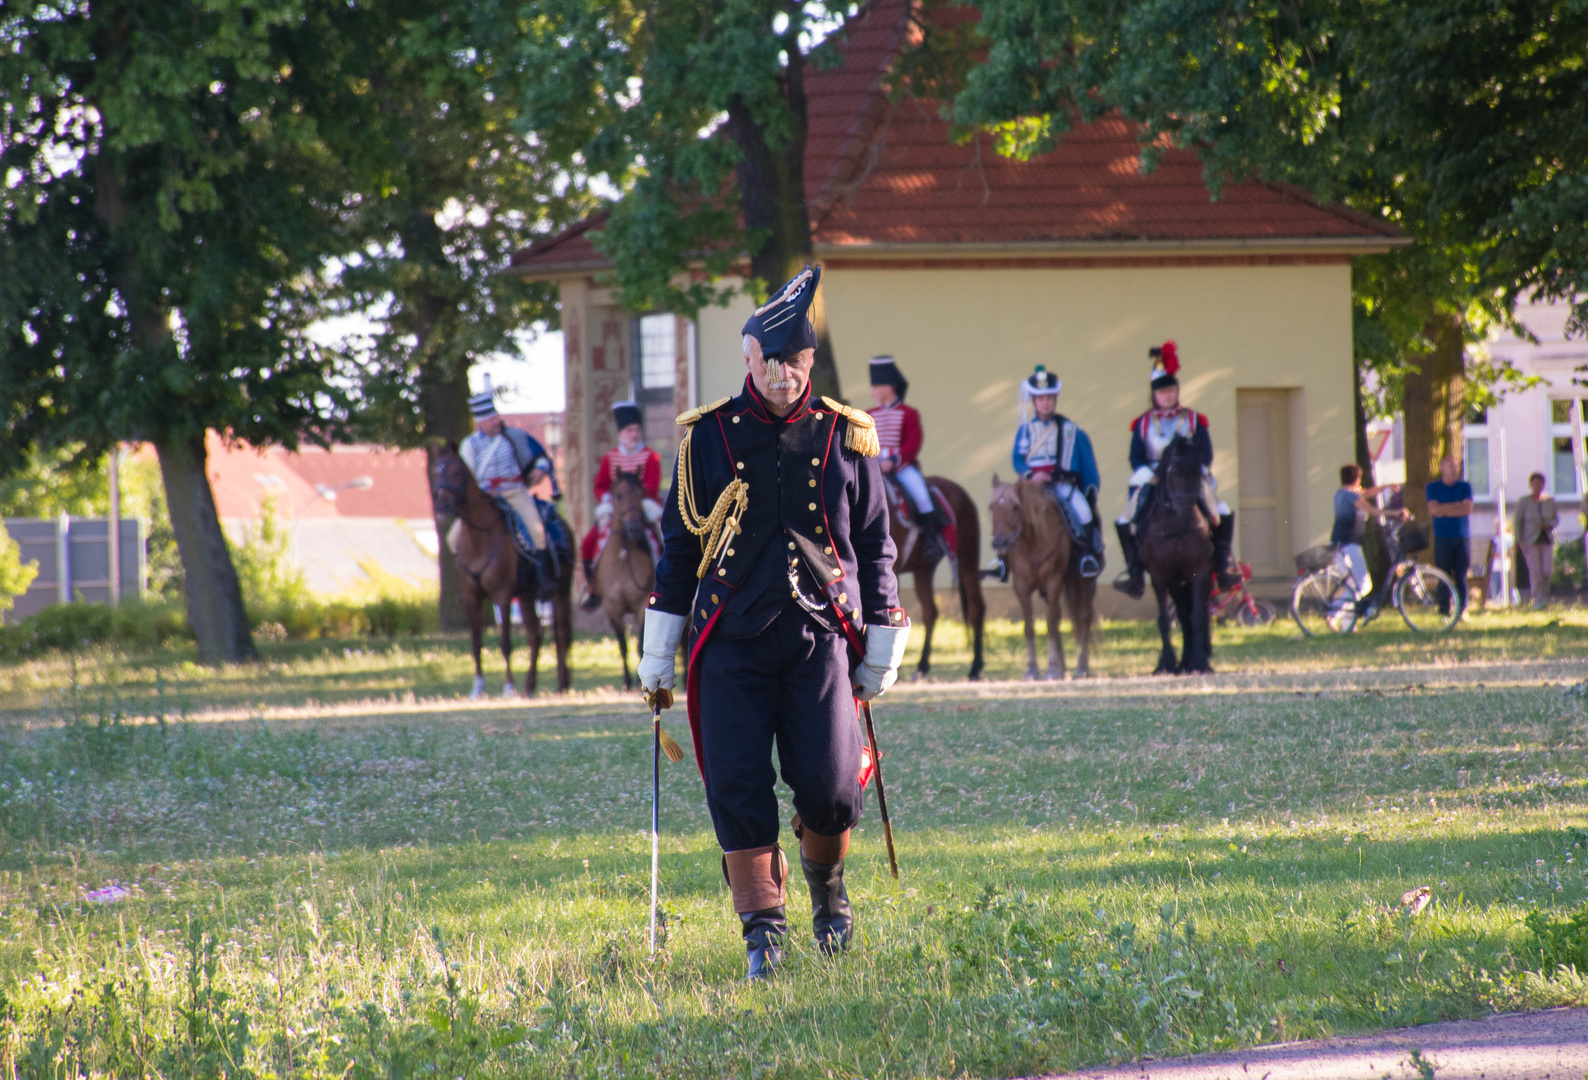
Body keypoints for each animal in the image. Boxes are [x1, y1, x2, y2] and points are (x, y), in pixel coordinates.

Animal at [431, 441, 574, 695]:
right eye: (435, 472)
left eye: (456, 472)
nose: (442, 505)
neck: (479, 539)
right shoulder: (472, 598)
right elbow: (476, 642)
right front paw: (477, 688)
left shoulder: (503, 596)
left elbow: (505, 643)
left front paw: (508, 687)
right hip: (527, 596)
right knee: (535, 635)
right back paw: (530, 686)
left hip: (561, 591)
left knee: (561, 634)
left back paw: (561, 684)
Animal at [593, 473, 654, 692]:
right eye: (619, 495)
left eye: (641, 494)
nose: (634, 528)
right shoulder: (612, 608)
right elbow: (622, 645)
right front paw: (627, 681)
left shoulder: (642, 604)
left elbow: (639, 644)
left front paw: (638, 680)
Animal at [882, 473, 978, 679]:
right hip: (923, 571)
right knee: (930, 611)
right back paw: (922, 665)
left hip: (967, 561)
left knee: (976, 608)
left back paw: (976, 667)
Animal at [984, 476, 1098, 679]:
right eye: (992, 507)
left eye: (1015, 506)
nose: (1000, 543)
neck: (1033, 541)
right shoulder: (1021, 586)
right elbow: (1029, 627)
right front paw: (1032, 669)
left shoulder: (1053, 581)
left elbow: (1051, 624)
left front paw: (1051, 668)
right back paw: (1063, 668)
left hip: (1084, 582)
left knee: (1084, 618)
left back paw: (1081, 667)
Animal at [1143, 432, 1213, 670]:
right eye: (1174, 472)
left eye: (1198, 473)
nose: (1185, 516)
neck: (1175, 528)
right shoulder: (1159, 576)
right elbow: (1165, 619)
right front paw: (1165, 663)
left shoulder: (1200, 572)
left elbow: (1197, 616)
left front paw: (1200, 662)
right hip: (1176, 583)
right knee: (1182, 615)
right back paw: (1183, 661)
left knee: (1193, 615)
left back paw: (1192, 659)